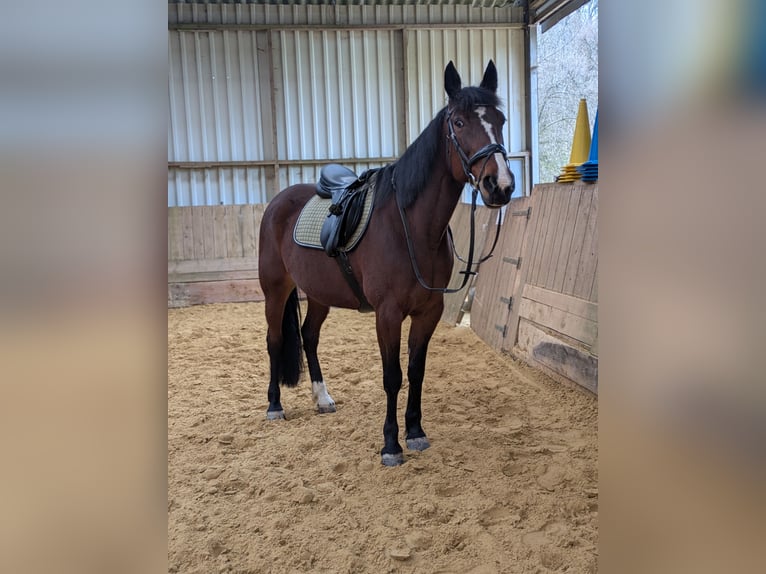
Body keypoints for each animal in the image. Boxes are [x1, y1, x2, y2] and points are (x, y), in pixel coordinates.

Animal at [258, 60, 515, 466]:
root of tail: (279, 201)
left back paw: (322, 398)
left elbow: (416, 370)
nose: (500, 185)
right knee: (275, 339)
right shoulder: (388, 313)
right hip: (275, 289)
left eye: (500, 119)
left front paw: (416, 432)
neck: (409, 225)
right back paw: (274, 406)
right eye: (458, 122)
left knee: (309, 336)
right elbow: (392, 376)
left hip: (318, 294)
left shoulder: (429, 311)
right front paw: (391, 444)